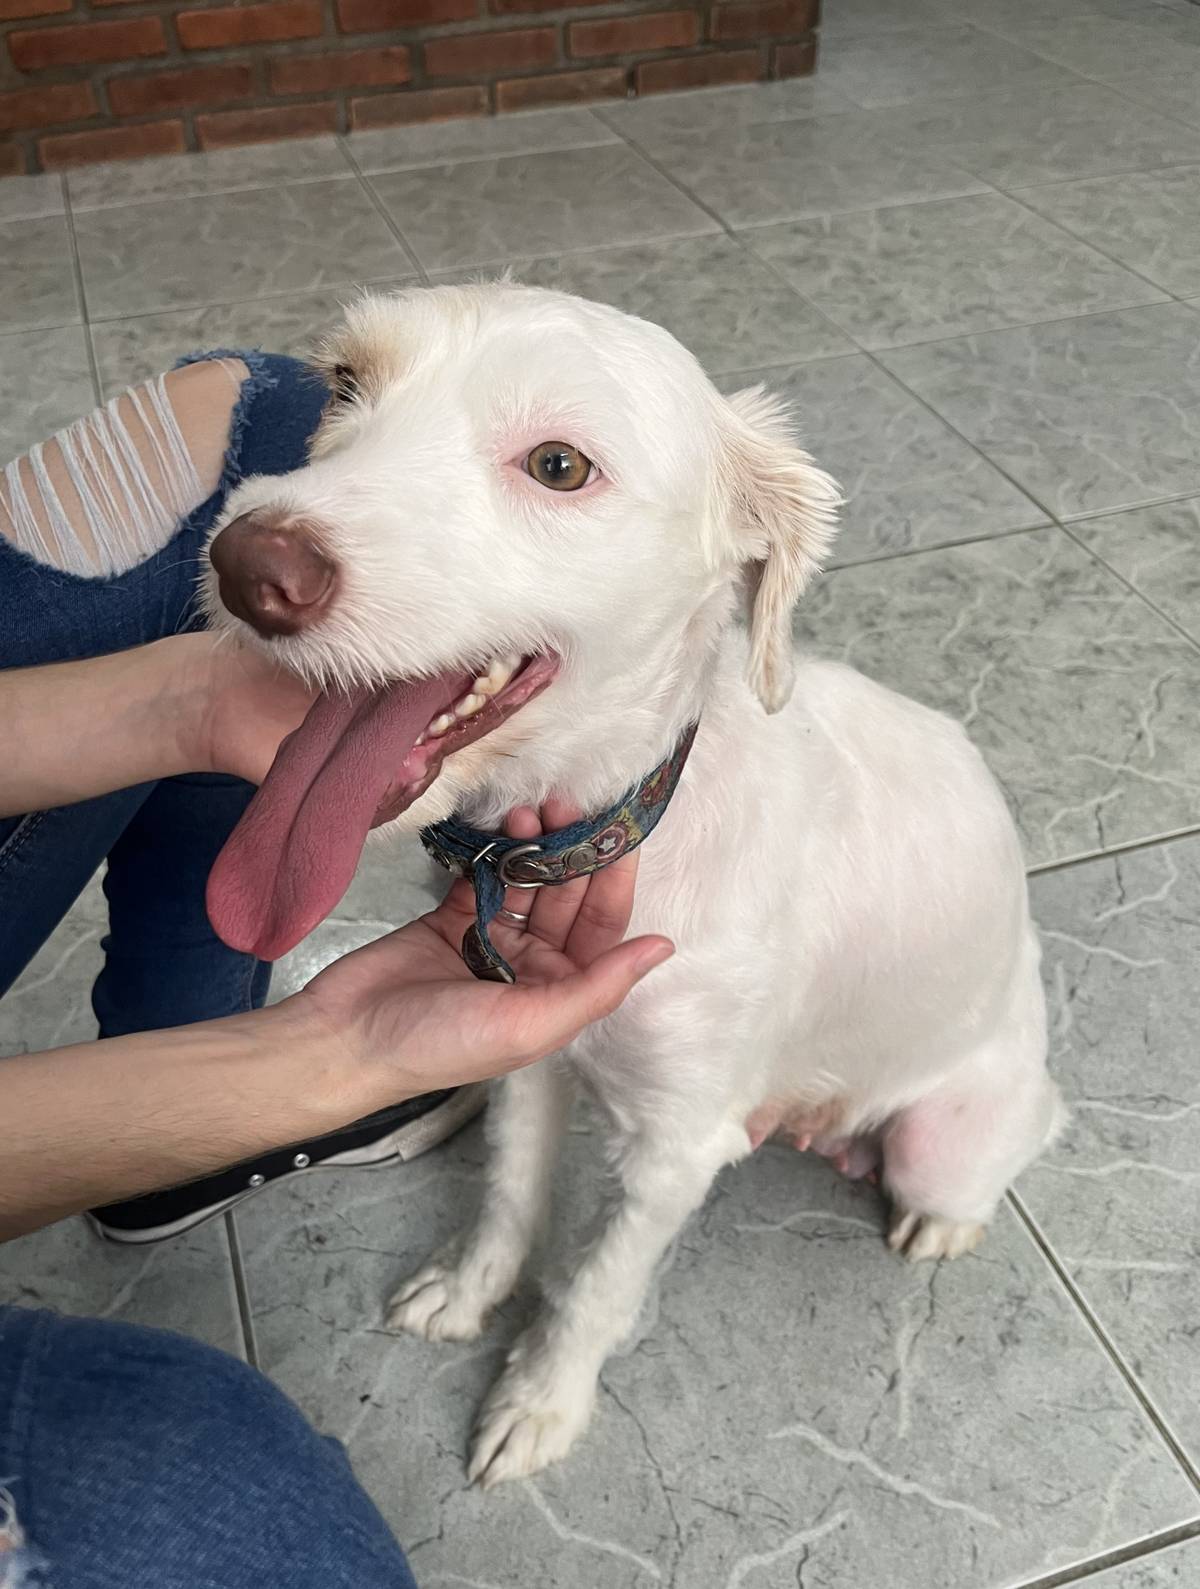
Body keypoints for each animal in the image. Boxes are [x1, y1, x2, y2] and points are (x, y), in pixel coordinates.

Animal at [201, 283, 1064, 1488]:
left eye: (559, 465)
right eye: (345, 385)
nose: (249, 568)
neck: (595, 832)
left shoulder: (675, 1142)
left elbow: (596, 1288)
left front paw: (539, 1400)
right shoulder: (527, 1045)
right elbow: (510, 1193)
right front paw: (470, 1289)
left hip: (947, 1137)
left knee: (1025, 1133)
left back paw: (949, 1216)